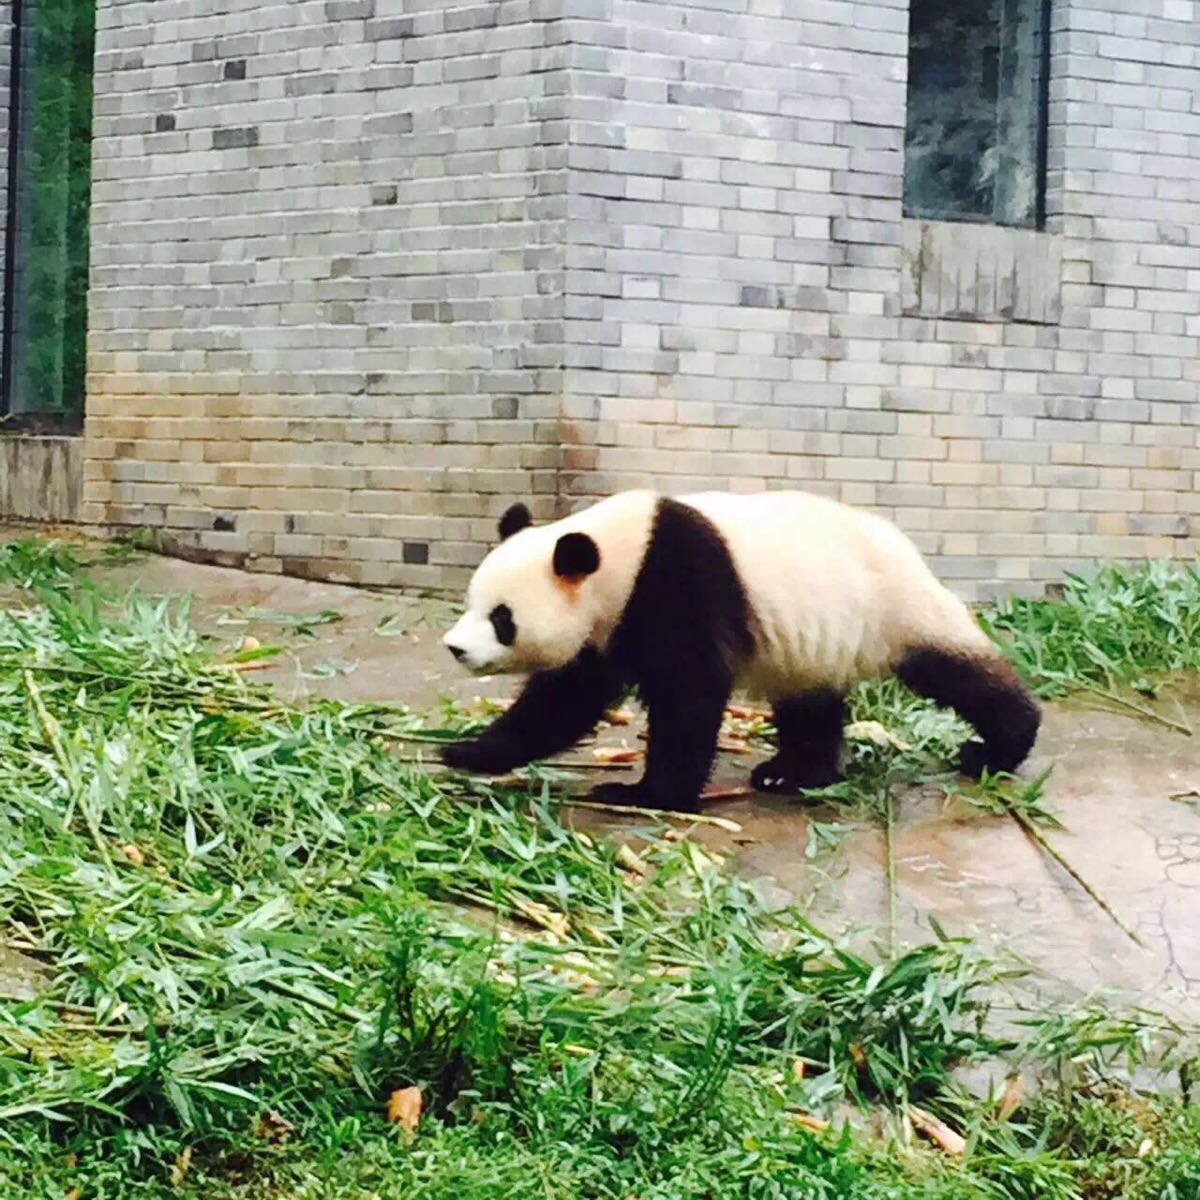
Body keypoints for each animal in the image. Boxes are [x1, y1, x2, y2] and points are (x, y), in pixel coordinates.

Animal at [441, 489, 1041, 816]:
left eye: (502, 618)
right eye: (471, 603)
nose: (455, 647)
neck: (618, 556)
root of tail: (908, 548)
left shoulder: (675, 583)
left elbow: (690, 692)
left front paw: (644, 793)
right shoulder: (608, 624)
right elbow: (563, 700)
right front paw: (467, 752)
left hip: (892, 607)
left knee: (957, 672)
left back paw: (997, 748)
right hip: (815, 642)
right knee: (810, 704)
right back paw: (792, 773)